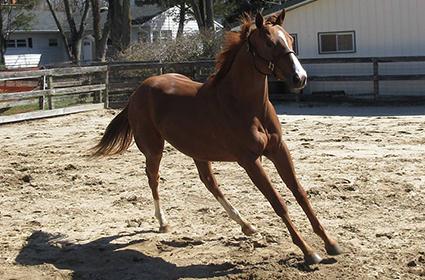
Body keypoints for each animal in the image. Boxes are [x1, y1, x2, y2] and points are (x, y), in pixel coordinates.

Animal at [92, 11, 342, 264]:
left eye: (290, 40)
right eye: (270, 43)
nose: (299, 78)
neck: (245, 105)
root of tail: (138, 91)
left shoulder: (278, 149)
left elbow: (300, 193)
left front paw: (330, 243)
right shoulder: (250, 160)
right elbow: (278, 203)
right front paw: (308, 252)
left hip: (197, 151)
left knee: (209, 182)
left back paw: (246, 225)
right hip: (154, 148)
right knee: (153, 178)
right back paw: (163, 222)